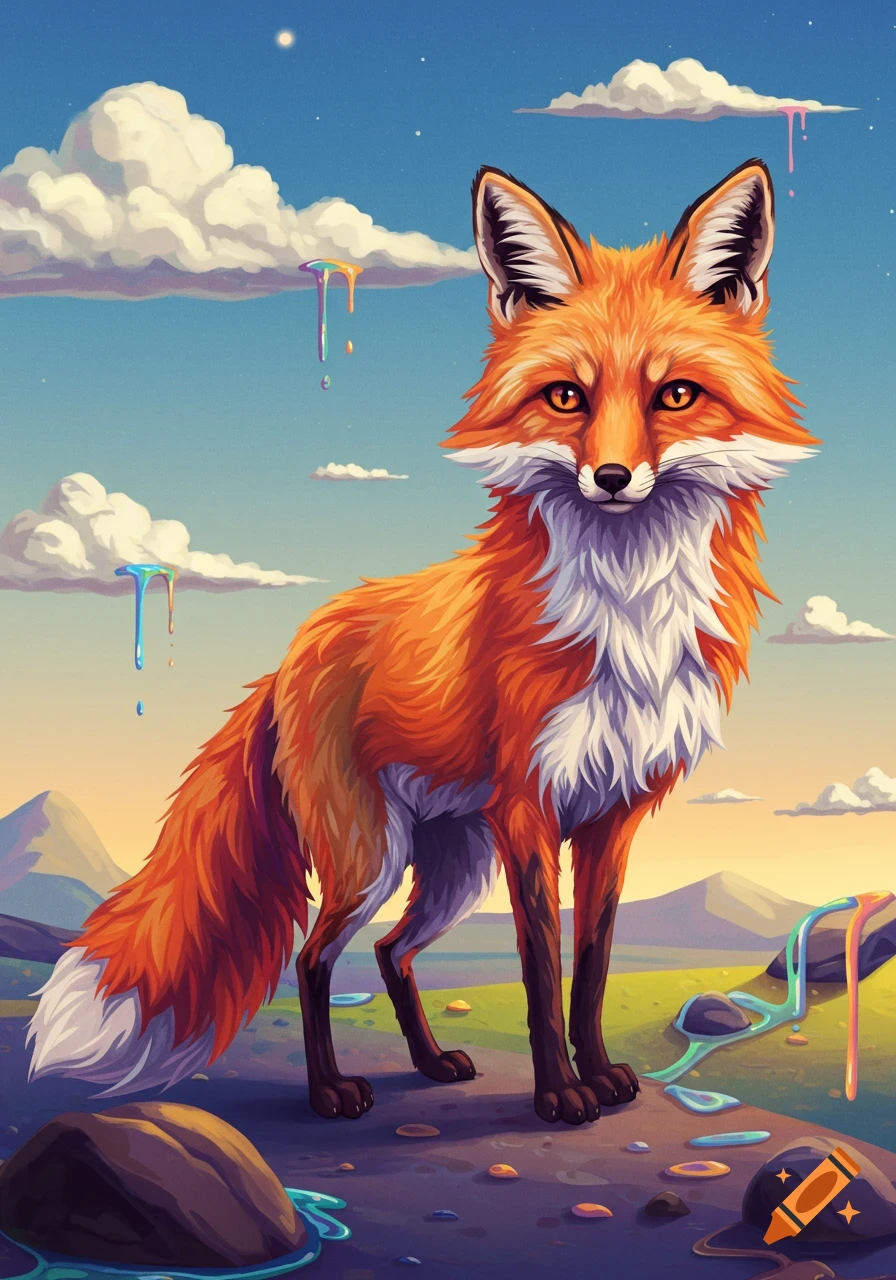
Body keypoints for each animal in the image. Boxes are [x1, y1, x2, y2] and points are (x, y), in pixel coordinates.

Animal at [28, 159, 816, 1126]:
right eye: (566, 396)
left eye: (675, 395)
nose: (612, 477)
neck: (628, 613)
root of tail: (291, 653)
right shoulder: (528, 808)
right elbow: (539, 966)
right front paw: (561, 1094)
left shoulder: (613, 816)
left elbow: (591, 967)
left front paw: (599, 1075)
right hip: (372, 855)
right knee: (314, 957)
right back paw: (330, 1090)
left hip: (451, 864)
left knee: (392, 951)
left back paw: (433, 1061)